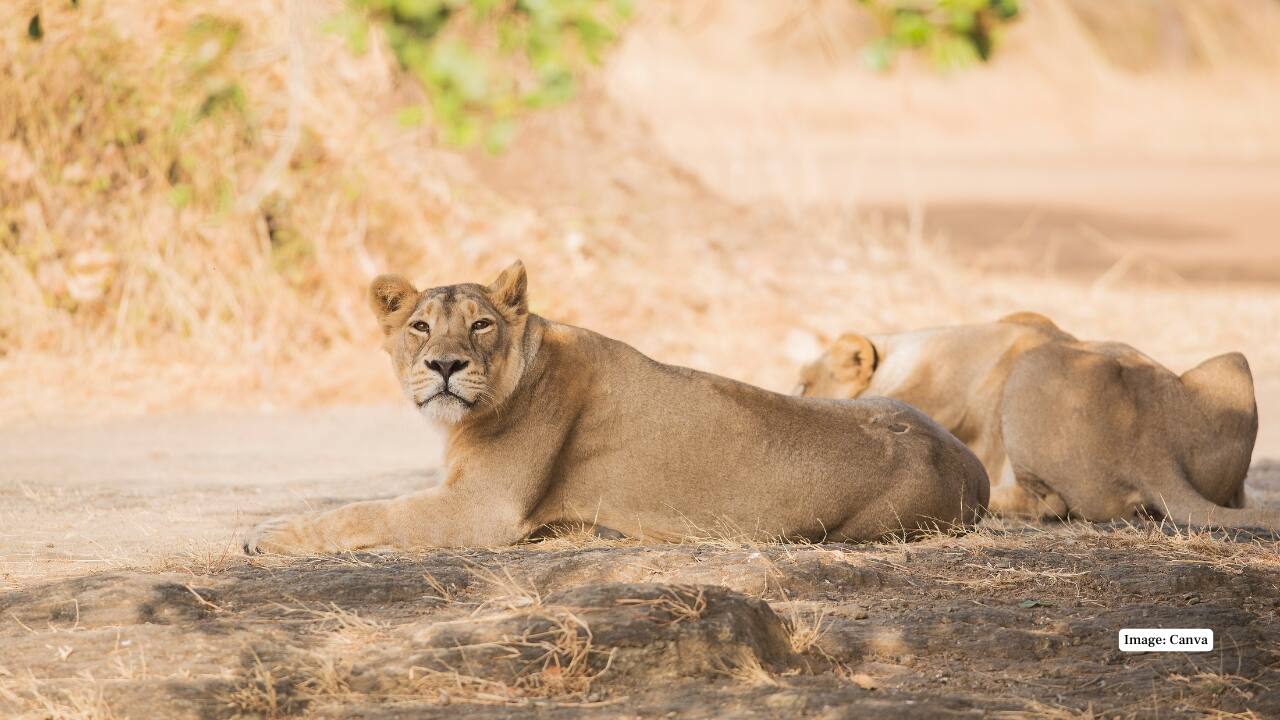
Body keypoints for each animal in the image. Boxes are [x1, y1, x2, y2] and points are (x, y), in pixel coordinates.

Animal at [244, 261, 988, 554]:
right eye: (420, 327)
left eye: (480, 325)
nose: (445, 366)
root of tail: (973, 467)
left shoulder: (482, 509)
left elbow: (364, 512)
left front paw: (268, 535)